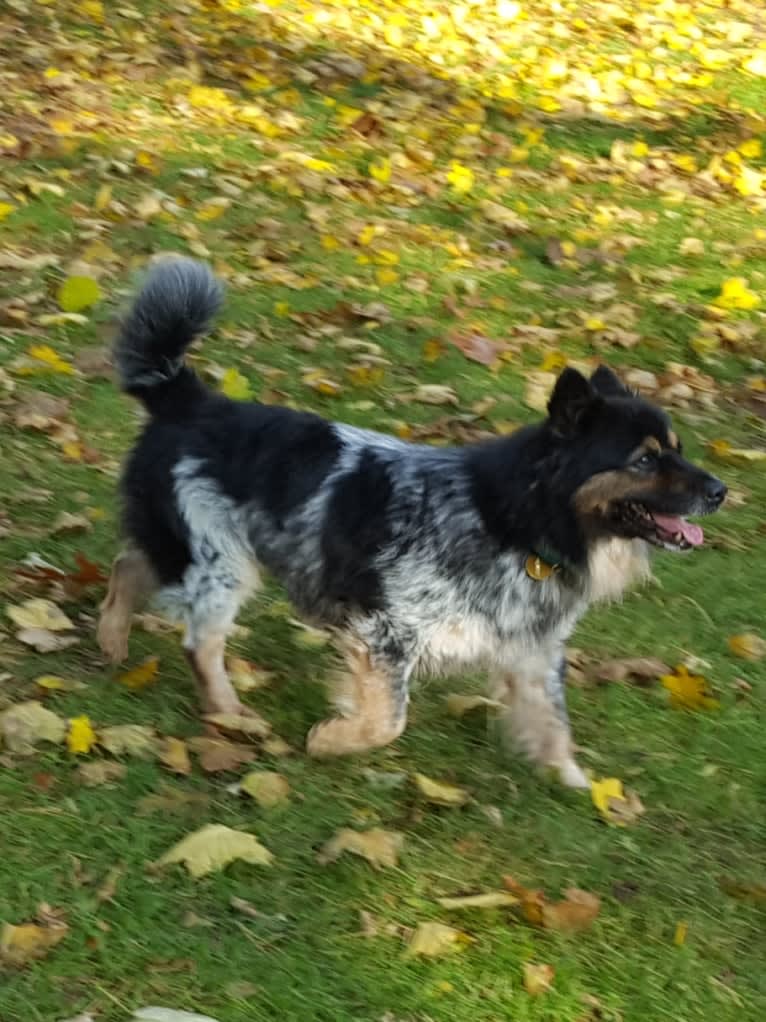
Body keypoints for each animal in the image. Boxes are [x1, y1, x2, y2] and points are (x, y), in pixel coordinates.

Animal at [99, 259, 727, 784]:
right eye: (644, 460)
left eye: (677, 449)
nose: (721, 492)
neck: (514, 520)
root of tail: (190, 400)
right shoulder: (386, 631)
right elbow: (389, 722)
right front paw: (331, 741)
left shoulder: (531, 649)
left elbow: (552, 722)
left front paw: (583, 787)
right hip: (220, 562)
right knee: (199, 641)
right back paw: (230, 713)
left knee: (129, 563)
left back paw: (112, 641)